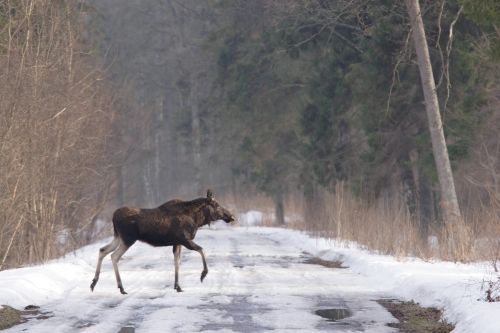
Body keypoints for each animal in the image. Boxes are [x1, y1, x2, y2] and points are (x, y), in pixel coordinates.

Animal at [89, 189, 234, 294]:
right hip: (128, 239)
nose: (231, 216)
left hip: (118, 237)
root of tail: (113, 217)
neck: (197, 220)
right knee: (114, 256)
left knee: (102, 250)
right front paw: (203, 274)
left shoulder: (177, 243)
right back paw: (121, 287)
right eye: (217, 205)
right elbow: (202, 250)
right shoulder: (184, 239)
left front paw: (177, 286)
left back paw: (94, 283)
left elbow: (177, 263)